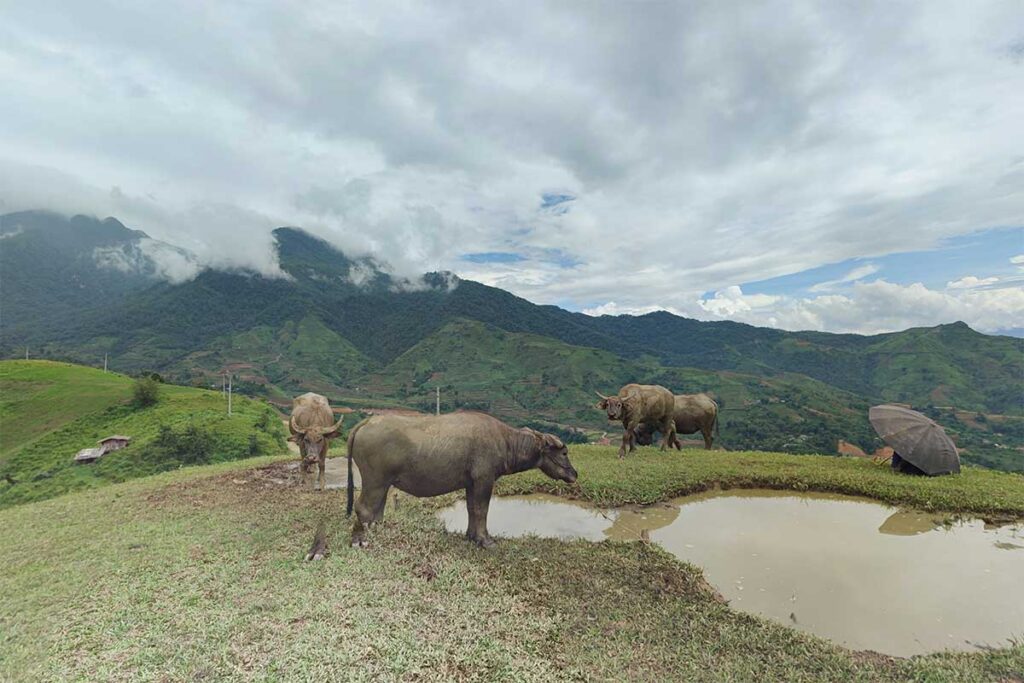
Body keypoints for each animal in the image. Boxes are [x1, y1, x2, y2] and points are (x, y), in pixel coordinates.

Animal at [346, 412, 578, 548]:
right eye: (564, 453)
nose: (574, 474)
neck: (504, 441)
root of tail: (367, 422)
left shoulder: (471, 483)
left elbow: (471, 508)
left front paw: (471, 536)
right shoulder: (485, 480)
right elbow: (482, 509)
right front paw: (485, 540)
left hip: (384, 483)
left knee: (378, 508)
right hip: (374, 481)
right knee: (363, 507)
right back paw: (360, 540)